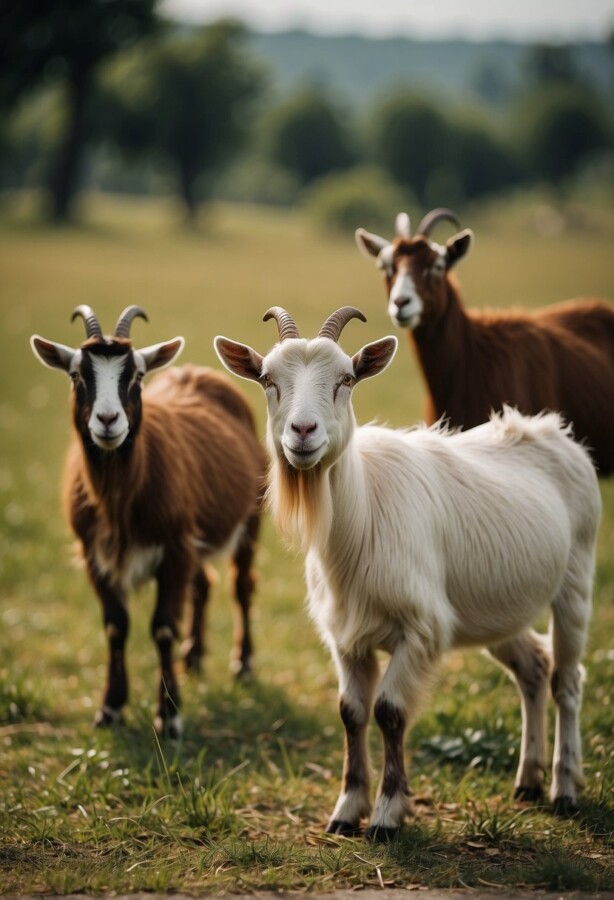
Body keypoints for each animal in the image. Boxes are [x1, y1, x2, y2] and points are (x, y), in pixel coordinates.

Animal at [31, 305, 265, 737]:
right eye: (76, 375)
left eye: (137, 375)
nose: (108, 421)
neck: (119, 498)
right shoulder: (95, 555)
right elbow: (115, 627)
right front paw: (109, 710)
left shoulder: (173, 550)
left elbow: (163, 628)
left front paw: (169, 718)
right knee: (203, 585)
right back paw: (194, 658)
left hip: (250, 517)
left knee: (241, 585)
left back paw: (242, 665)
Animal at [215, 306, 600, 841]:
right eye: (268, 379)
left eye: (346, 379)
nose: (303, 431)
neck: (361, 516)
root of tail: (555, 433)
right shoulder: (345, 637)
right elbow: (351, 712)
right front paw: (346, 810)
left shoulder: (421, 629)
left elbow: (389, 712)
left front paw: (387, 815)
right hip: (497, 609)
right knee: (534, 668)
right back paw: (527, 781)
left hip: (575, 581)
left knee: (567, 678)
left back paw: (564, 789)